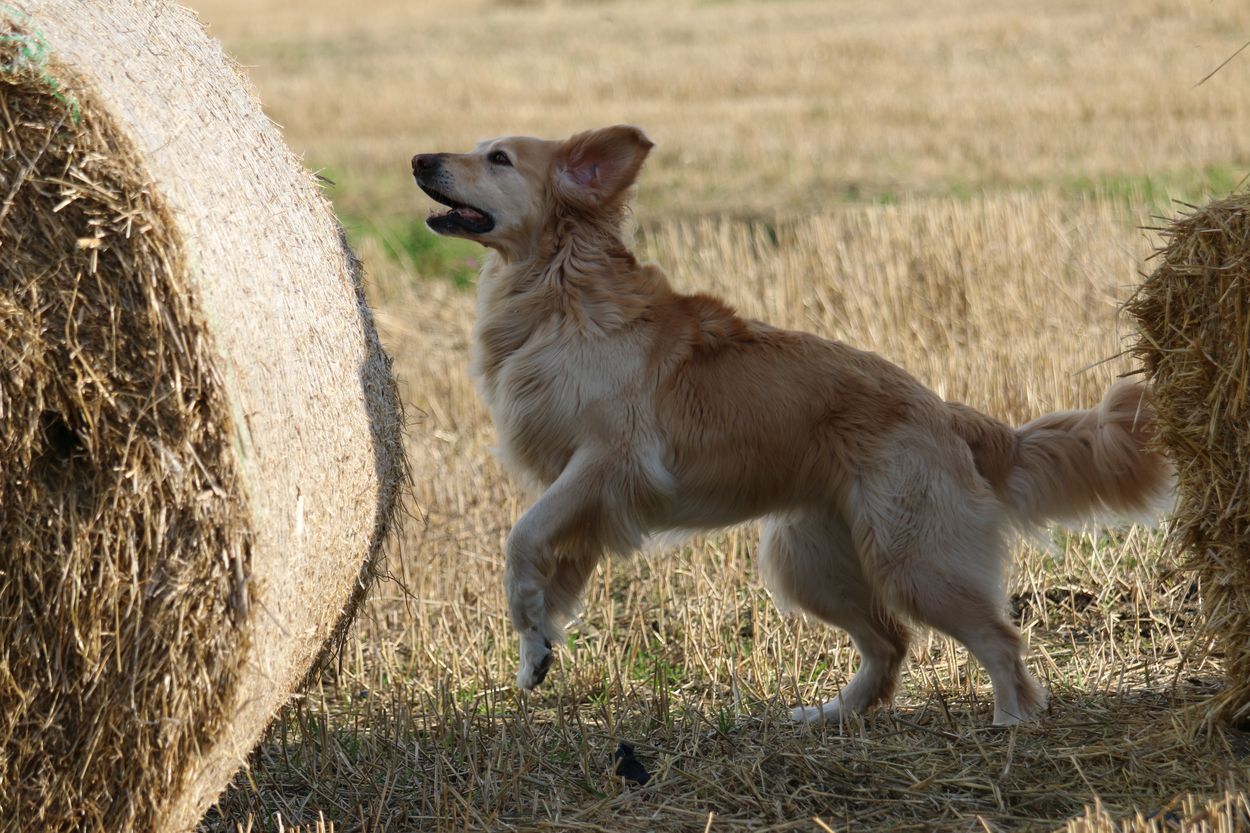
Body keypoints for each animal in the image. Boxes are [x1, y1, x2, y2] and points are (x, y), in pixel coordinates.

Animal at [411, 125, 1173, 725]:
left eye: (499, 158)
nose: (419, 158)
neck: (559, 287)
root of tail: (951, 415)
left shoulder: (609, 463)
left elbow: (520, 540)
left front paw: (530, 625)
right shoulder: (585, 495)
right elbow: (552, 569)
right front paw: (537, 649)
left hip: (914, 559)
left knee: (996, 637)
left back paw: (1012, 718)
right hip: (808, 559)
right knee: (890, 644)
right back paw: (833, 713)